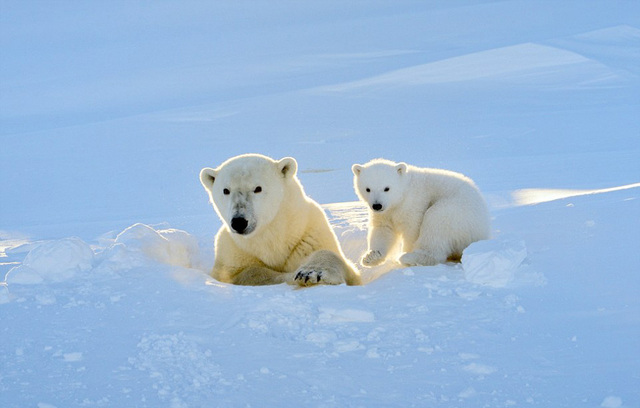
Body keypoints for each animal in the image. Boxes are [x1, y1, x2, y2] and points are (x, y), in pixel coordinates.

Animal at [200, 154, 360, 286]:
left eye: (258, 188)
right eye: (226, 190)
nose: (239, 222)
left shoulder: (309, 235)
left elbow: (333, 257)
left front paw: (311, 273)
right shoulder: (232, 250)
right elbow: (246, 273)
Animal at [352, 159, 488, 268]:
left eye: (387, 188)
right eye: (368, 189)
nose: (377, 205)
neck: (402, 195)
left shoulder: (414, 203)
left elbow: (412, 230)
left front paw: (405, 251)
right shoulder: (385, 213)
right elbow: (383, 230)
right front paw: (371, 257)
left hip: (457, 212)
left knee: (435, 222)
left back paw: (409, 257)